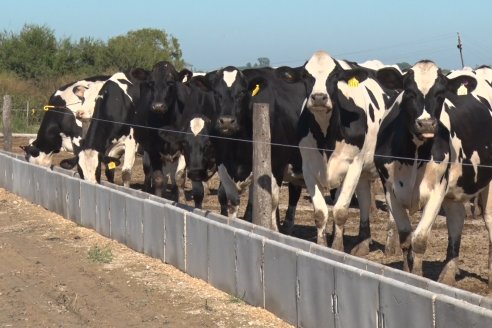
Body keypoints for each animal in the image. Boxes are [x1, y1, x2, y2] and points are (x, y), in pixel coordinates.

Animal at [296, 50, 396, 254]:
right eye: (305, 75)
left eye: (334, 76)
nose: (319, 97)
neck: (326, 136)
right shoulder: (308, 168)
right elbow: (320, 213)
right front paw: (322, 246)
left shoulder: (353, 165)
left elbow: (340, 211)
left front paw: (337, 247)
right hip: (364, 171)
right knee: (365, 199)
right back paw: (363, 243)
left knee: (393, 204)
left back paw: (391, 245)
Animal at [374, 60, 492, 286]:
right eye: (409, 92)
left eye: (441, 93)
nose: (427, 124)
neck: (414, 156)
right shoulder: (389, 190)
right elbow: (406, 239)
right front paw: (406, 273)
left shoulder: (437, 190)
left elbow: (419, 240)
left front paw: (418, 279)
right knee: (457, 219)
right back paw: (447, 274)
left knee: (490, 220)